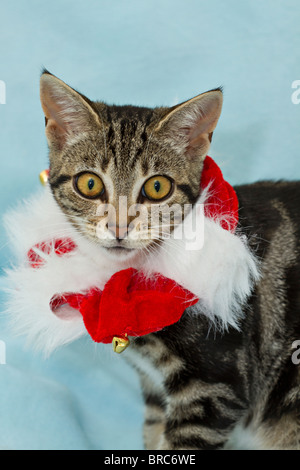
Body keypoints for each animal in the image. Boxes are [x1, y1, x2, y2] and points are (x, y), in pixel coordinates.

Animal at [21, 71, 300, 450]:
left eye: (157, 188)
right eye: (89, 183)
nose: (119, 226)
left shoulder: (213, 387)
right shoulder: (155, 389)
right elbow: (153, 434)